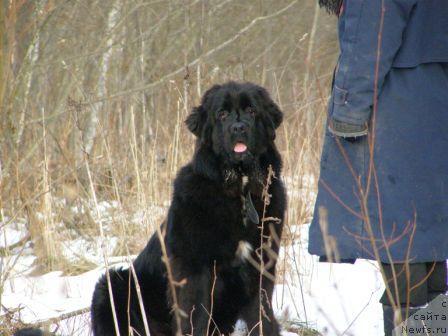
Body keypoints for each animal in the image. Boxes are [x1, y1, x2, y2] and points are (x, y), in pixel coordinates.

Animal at [91, 82, 288, 336]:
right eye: (222, 114)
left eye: (252, 111)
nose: (238, 127)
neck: (240, 190)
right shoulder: (194, 269)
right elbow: (195, 315)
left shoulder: (261, 264)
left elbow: (260, 313)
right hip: (110, 285)